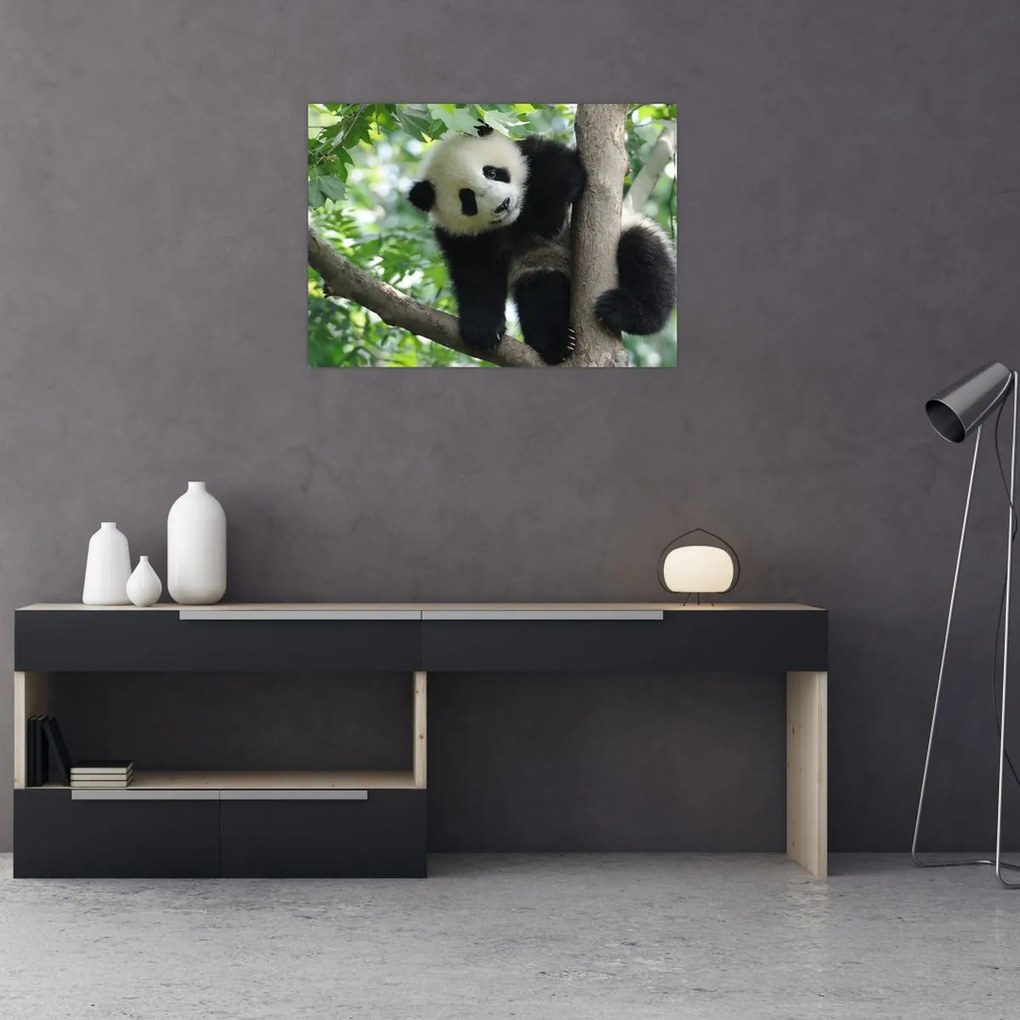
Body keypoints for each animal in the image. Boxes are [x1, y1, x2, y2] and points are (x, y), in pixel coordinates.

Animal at [408, 126, 676, 365]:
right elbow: (476, 276)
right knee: (541, 295)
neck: (514, 221)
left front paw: (548, 221)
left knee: (644, 255)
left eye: (492, 172)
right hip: (541, 265)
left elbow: (564, 171)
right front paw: (482, 330)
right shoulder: (460, 237)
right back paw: (557, 344)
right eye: (468, 198)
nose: (503, 204)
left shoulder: (532, 154)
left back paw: (625, 311)